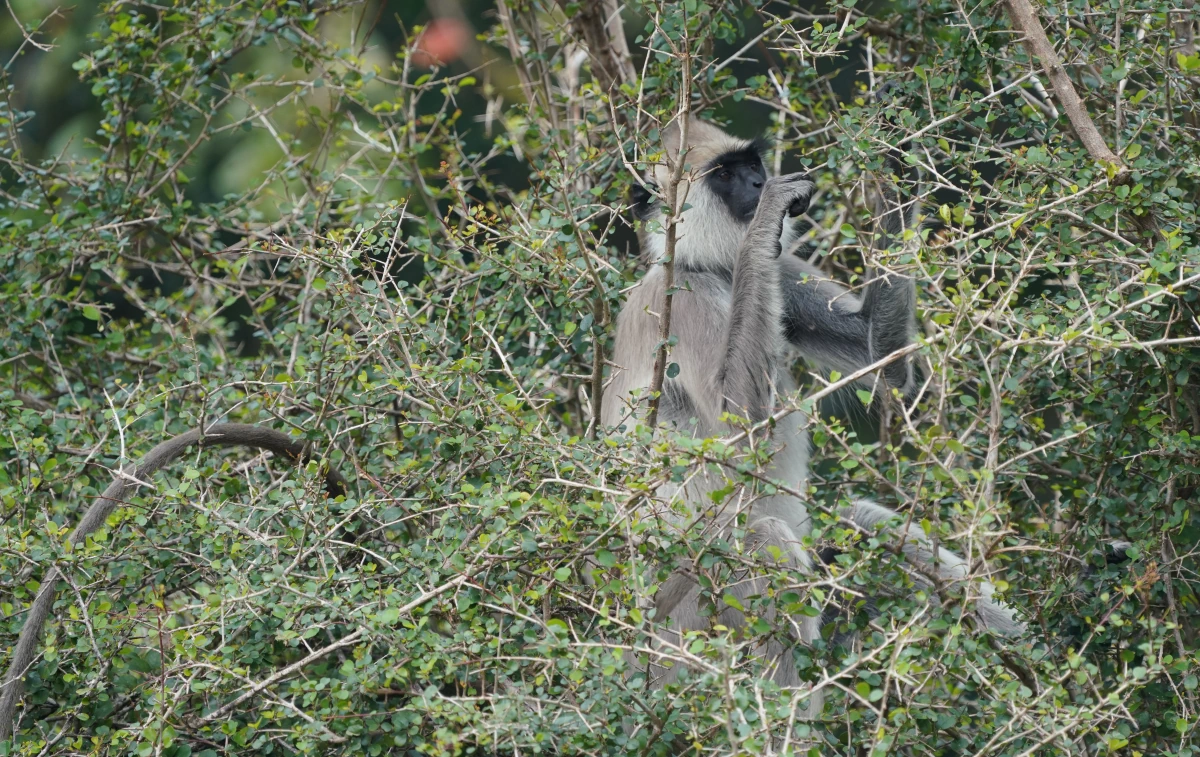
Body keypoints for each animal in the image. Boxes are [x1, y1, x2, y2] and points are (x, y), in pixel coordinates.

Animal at [600, 119, 1022, 715]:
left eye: (751, 164)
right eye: (725, 175)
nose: (759, 184)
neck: (702, 264)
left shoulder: (779, 272)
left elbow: (883, 363)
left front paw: (894, 173)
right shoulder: (683, 299)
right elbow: (742, 432)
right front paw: (766, 217)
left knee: (862, 524)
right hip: (682, 623)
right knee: (761, 538)